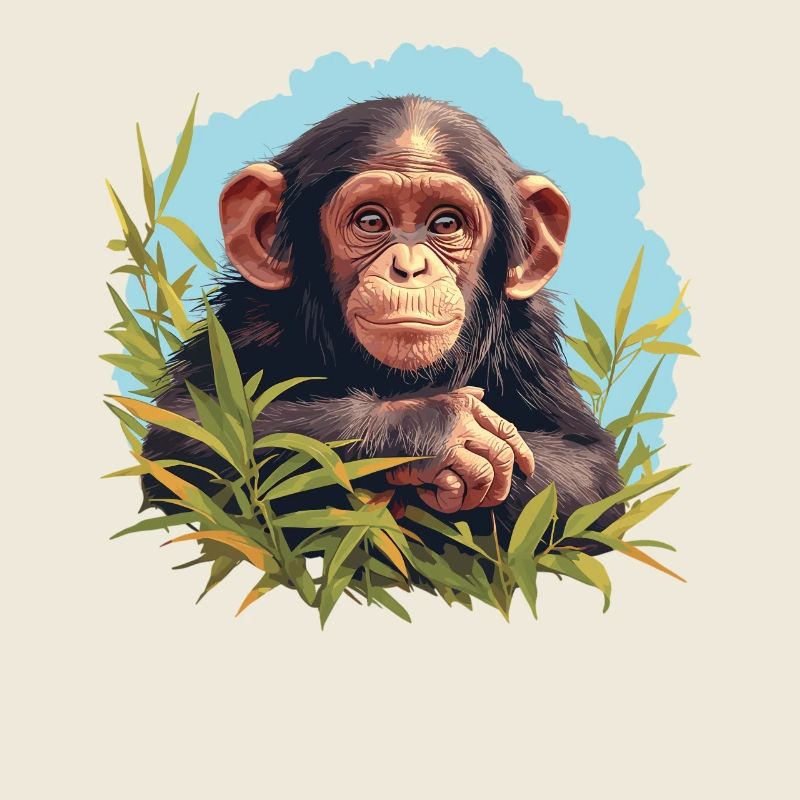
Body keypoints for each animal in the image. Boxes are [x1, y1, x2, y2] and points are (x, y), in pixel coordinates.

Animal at [143, 95, 622, 553]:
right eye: (371, 221)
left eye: (445, 223)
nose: (408, 268)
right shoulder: (248, 318)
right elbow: (193, 431)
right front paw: (441, 431)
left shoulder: (530, 336)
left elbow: (591, 474)